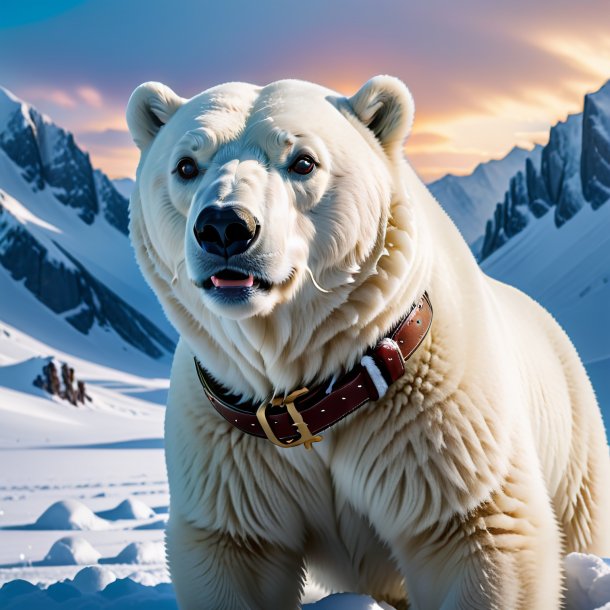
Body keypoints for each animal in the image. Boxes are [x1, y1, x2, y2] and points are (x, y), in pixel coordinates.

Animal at [124, 77, 608, 608]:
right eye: (186, 165)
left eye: (303, 161)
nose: (225, 226)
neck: (316, 387)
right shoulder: (233, 439)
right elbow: (237, 556)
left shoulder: (434, 424)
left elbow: (479, 535)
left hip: (574, 438)